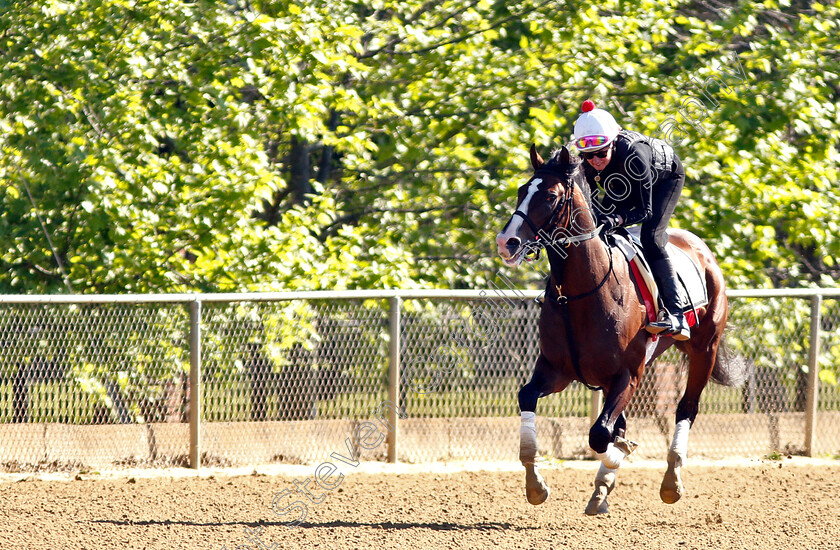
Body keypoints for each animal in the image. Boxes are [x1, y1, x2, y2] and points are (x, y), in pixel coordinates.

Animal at [496, 144, 744, 516]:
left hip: (705, 349)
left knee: (686, 409)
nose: (506, 242)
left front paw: (618, 460)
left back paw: (671, 480)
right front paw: (536, 484)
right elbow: (529, 397)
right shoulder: (556, 371)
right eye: (521, 191)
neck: (581, 293)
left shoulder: (628, 374)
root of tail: (702, 250)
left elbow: (600, 434)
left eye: (551, 196)